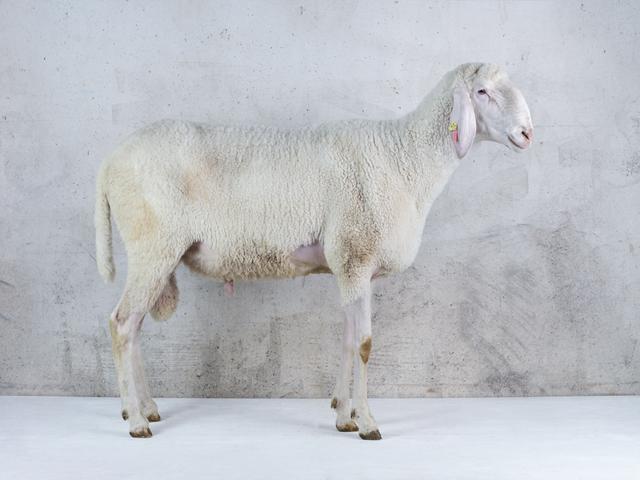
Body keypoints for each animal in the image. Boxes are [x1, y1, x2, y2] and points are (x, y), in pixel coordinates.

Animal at [95, 62, 533, 439]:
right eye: (482, 91)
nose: (528, 133)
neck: (404, 159)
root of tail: (109, 163)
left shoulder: (353, 267)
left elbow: (348, 338)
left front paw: (343, 414)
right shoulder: (356, 254)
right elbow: (365, 344)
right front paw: (367, 423)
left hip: (153, 253)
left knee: (134, 327)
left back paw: (146, 407)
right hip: (154, 245)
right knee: (121, 324)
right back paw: (136, 421)